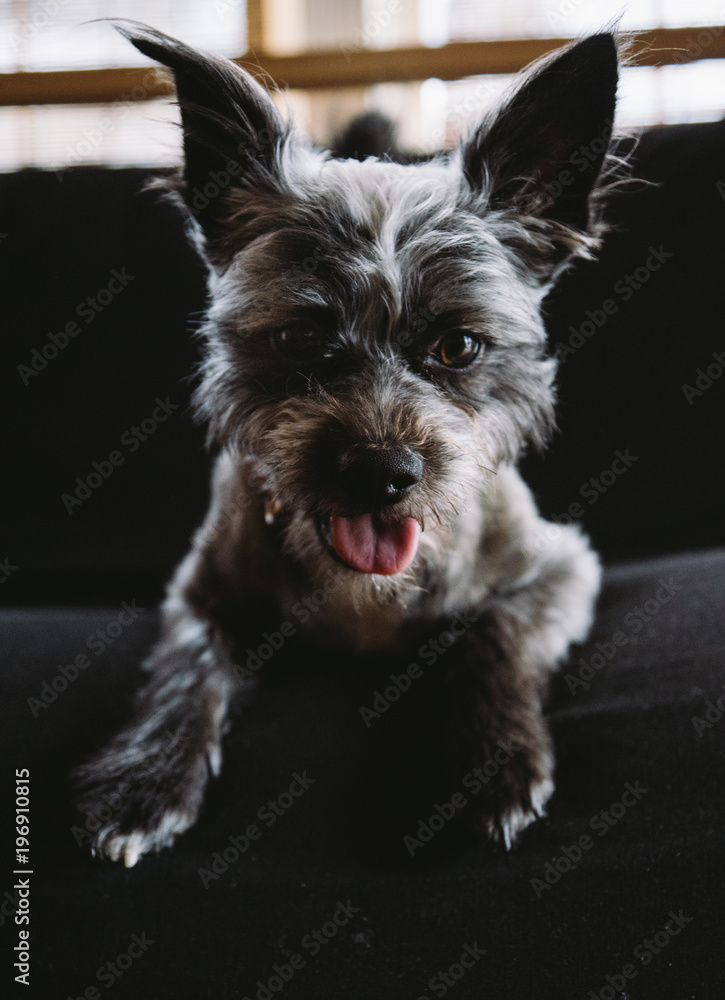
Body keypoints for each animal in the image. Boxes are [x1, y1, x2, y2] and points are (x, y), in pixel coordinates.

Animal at [73, 23, 620, 868]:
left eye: (458, 347)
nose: (381, 470)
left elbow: (492, 633)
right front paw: (146, 780)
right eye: (300, 340)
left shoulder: (560, 569)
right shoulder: (201, 593)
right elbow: (184, 670)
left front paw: (490, 758)